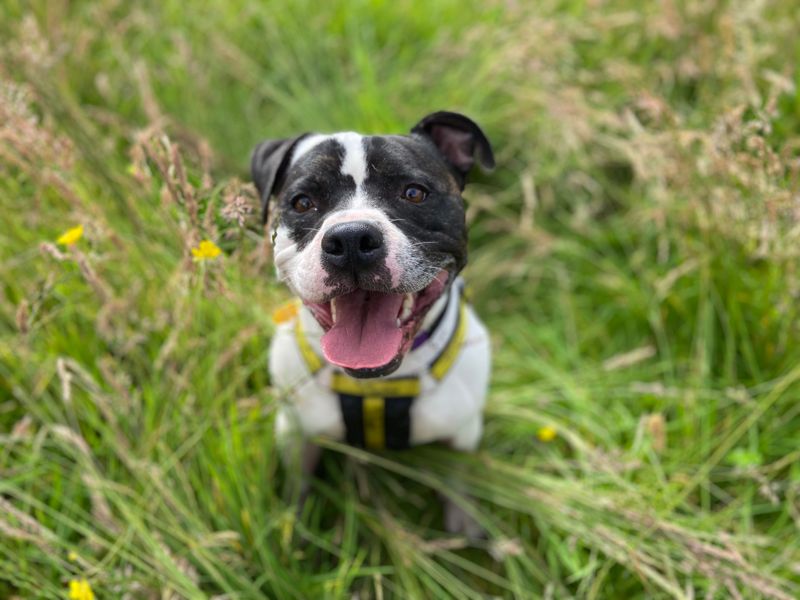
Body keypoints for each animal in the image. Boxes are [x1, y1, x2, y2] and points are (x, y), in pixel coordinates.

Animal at [253, 112, 494, 536]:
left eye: (414, 193)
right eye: (303, 202)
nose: (351, 239)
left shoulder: (462, 433)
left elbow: (458, 481)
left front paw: (463, 525)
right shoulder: (295, 432)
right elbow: (298, 485)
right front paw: (293, 527)